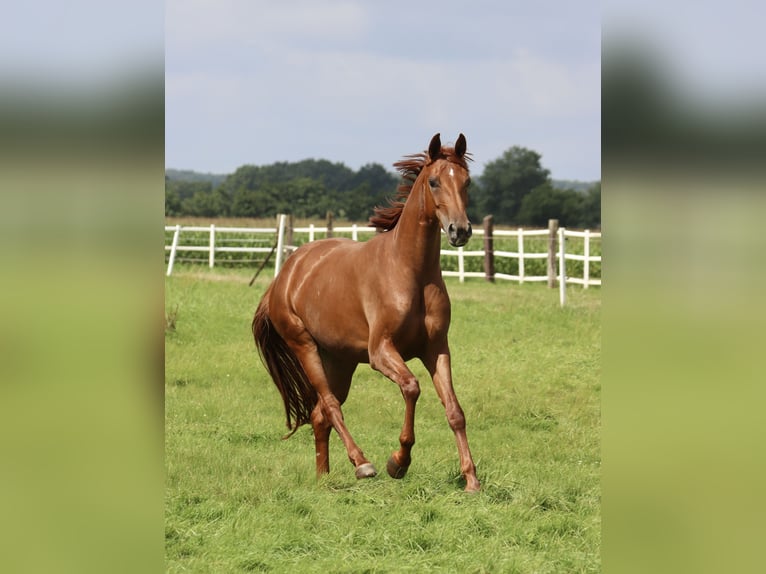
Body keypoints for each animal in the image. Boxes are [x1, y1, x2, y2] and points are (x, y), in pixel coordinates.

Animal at [252, 134, 480, 490]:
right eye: (434, 182)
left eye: (467, 182)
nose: (460, 230)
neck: (409, 270)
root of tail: (285, 275)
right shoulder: (381, 351)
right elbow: (411, 387)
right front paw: (398, 462)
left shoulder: (437, 349)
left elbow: (455, 411)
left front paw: (471, 480)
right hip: (305, 347)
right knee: (331, 407)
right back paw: (362, 464)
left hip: (340, 360)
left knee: (319, 415)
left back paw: (323, 478)